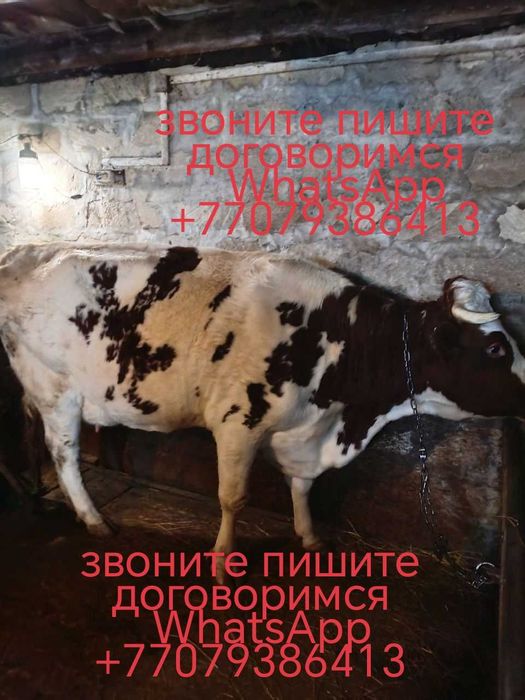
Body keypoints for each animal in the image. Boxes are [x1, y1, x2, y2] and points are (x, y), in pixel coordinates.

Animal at [0, 244, 524, 580]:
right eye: (497, 348)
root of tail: (27, 251)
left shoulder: (299, 433)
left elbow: (302, 486)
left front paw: (308, 536)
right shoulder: (238, 423)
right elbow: (234, 498)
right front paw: (222, 562)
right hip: (54, 389)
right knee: (64, 456)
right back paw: (92, 518)